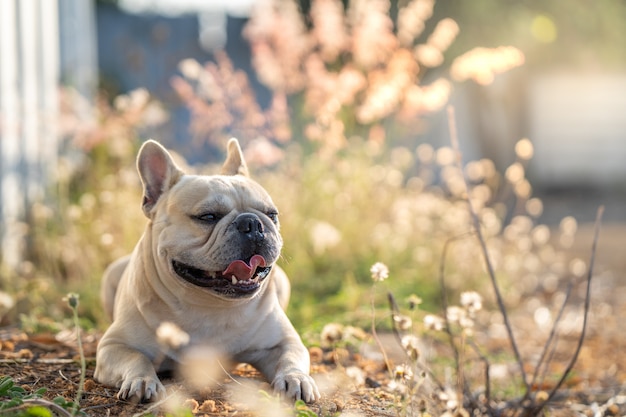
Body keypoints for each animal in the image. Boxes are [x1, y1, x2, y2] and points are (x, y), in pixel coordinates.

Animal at [95, 140, 320, 404]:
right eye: (208, 216)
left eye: (272, 214)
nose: (252, 223)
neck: (210, 307)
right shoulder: (113, 346)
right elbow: (136, 357)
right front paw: (141, 380)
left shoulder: (285, 342)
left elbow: (291, 357)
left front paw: (296, 378)